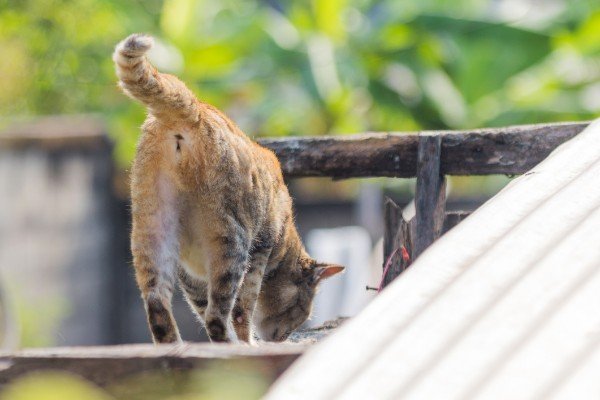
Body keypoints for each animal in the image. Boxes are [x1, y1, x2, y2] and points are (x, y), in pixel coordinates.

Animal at [112, 34, 344, 344]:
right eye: (301, 310)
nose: (283, 337)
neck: (284, 241)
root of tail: (195, 110)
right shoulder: (259, 251)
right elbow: (241, 311)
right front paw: (248, 342)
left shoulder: (190, 276)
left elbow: (203, 306)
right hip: (232, 241)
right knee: (217, 318)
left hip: (151, 233)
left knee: (159, 311)